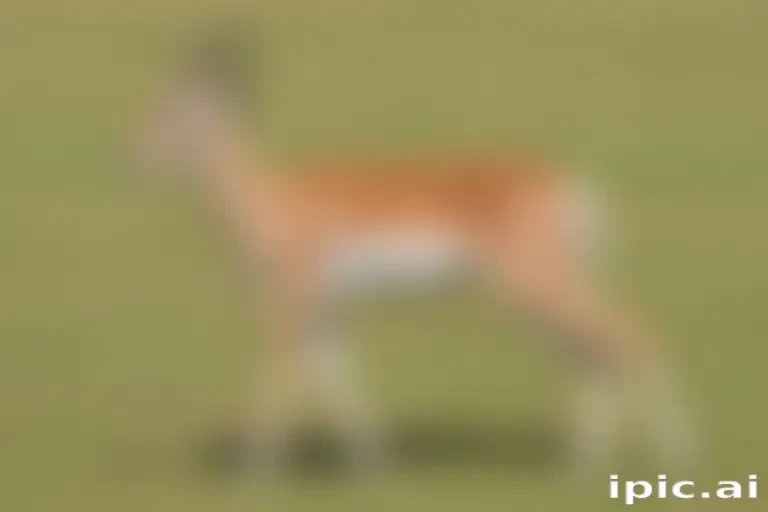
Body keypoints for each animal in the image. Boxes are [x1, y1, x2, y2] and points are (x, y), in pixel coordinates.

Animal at [137, 37, 698, 476]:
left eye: (172, 112)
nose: (130, 158)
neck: (272, 200)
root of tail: (564, 182)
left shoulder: (291, 303)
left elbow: (280, 376)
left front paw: (255, 474)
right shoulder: (330, 310)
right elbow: (338, 376)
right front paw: (373, 465)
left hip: (535, 283)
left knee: (628, 332)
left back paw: (678, 456)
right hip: (542, 289)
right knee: (592, 350)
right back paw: (581, 464)